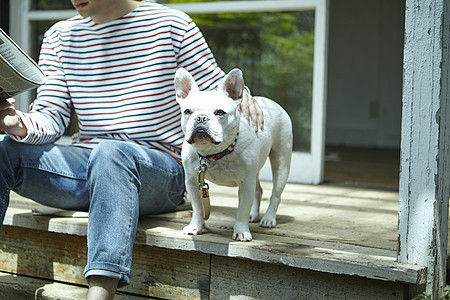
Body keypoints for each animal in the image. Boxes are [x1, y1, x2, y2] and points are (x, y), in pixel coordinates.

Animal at [174, 68, 294, 241]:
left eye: (220, 112)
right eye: (187, 111)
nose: (201, 118)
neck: (213, 152)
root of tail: (271, 102)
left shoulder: (245, 184)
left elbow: (242, 210)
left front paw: (241, 231)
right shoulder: (192, 182)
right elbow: (198, 208)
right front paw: (196, 226)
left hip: (281, 161)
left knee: (276, 193)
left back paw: (269, 218)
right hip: (255, 172)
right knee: (258, 190)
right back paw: (254, 214)